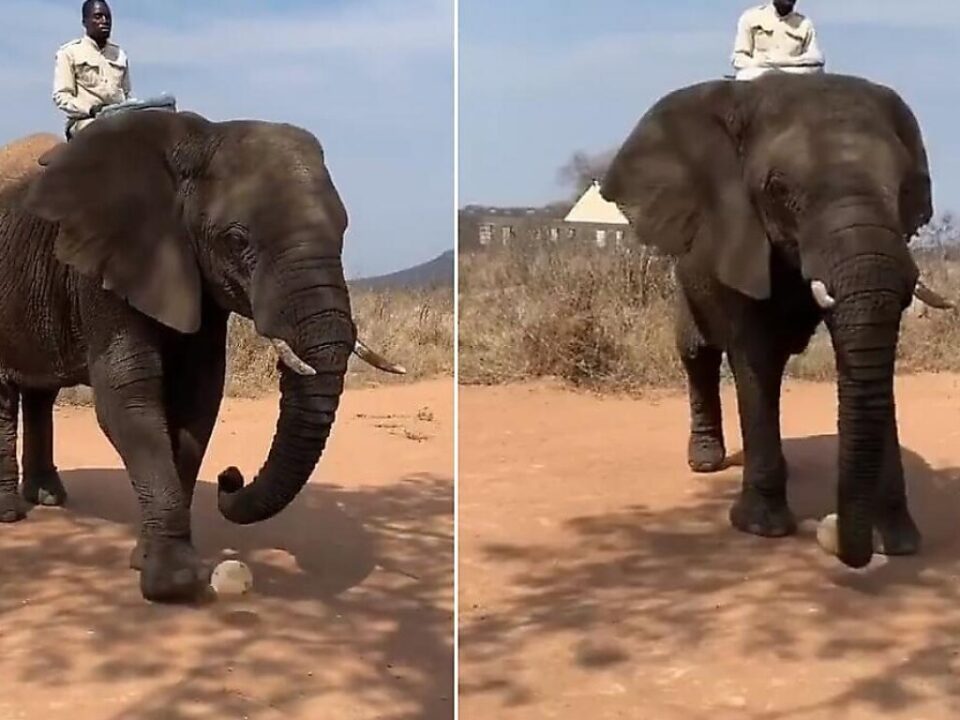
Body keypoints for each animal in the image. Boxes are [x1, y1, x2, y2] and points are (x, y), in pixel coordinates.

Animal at [0, 108, 404, 600]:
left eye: (343, 230)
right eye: (236, 239)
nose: (231, 478)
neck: (197, 139)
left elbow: (198, 399)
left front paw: (149, 560)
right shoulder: (104, 265)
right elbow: (128, 399)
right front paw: (173, 584)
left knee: (41, 393)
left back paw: (49, 498)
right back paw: (10, 513)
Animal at [604, 71, 948, 568]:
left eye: (905, 190)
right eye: (779, 190)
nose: (833, 532)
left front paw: (900, 543)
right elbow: (755, 356)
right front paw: (762, 529)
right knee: (697, 353)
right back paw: (705, 461)